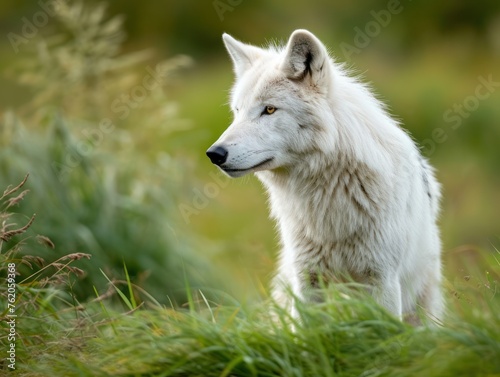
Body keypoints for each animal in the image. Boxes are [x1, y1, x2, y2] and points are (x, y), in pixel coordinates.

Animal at [207, 30, 446, 324]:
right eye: (237, 111)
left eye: (269, 110)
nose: (214, 153)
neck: (327, 194)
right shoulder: (307, 280)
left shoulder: (382, 280)